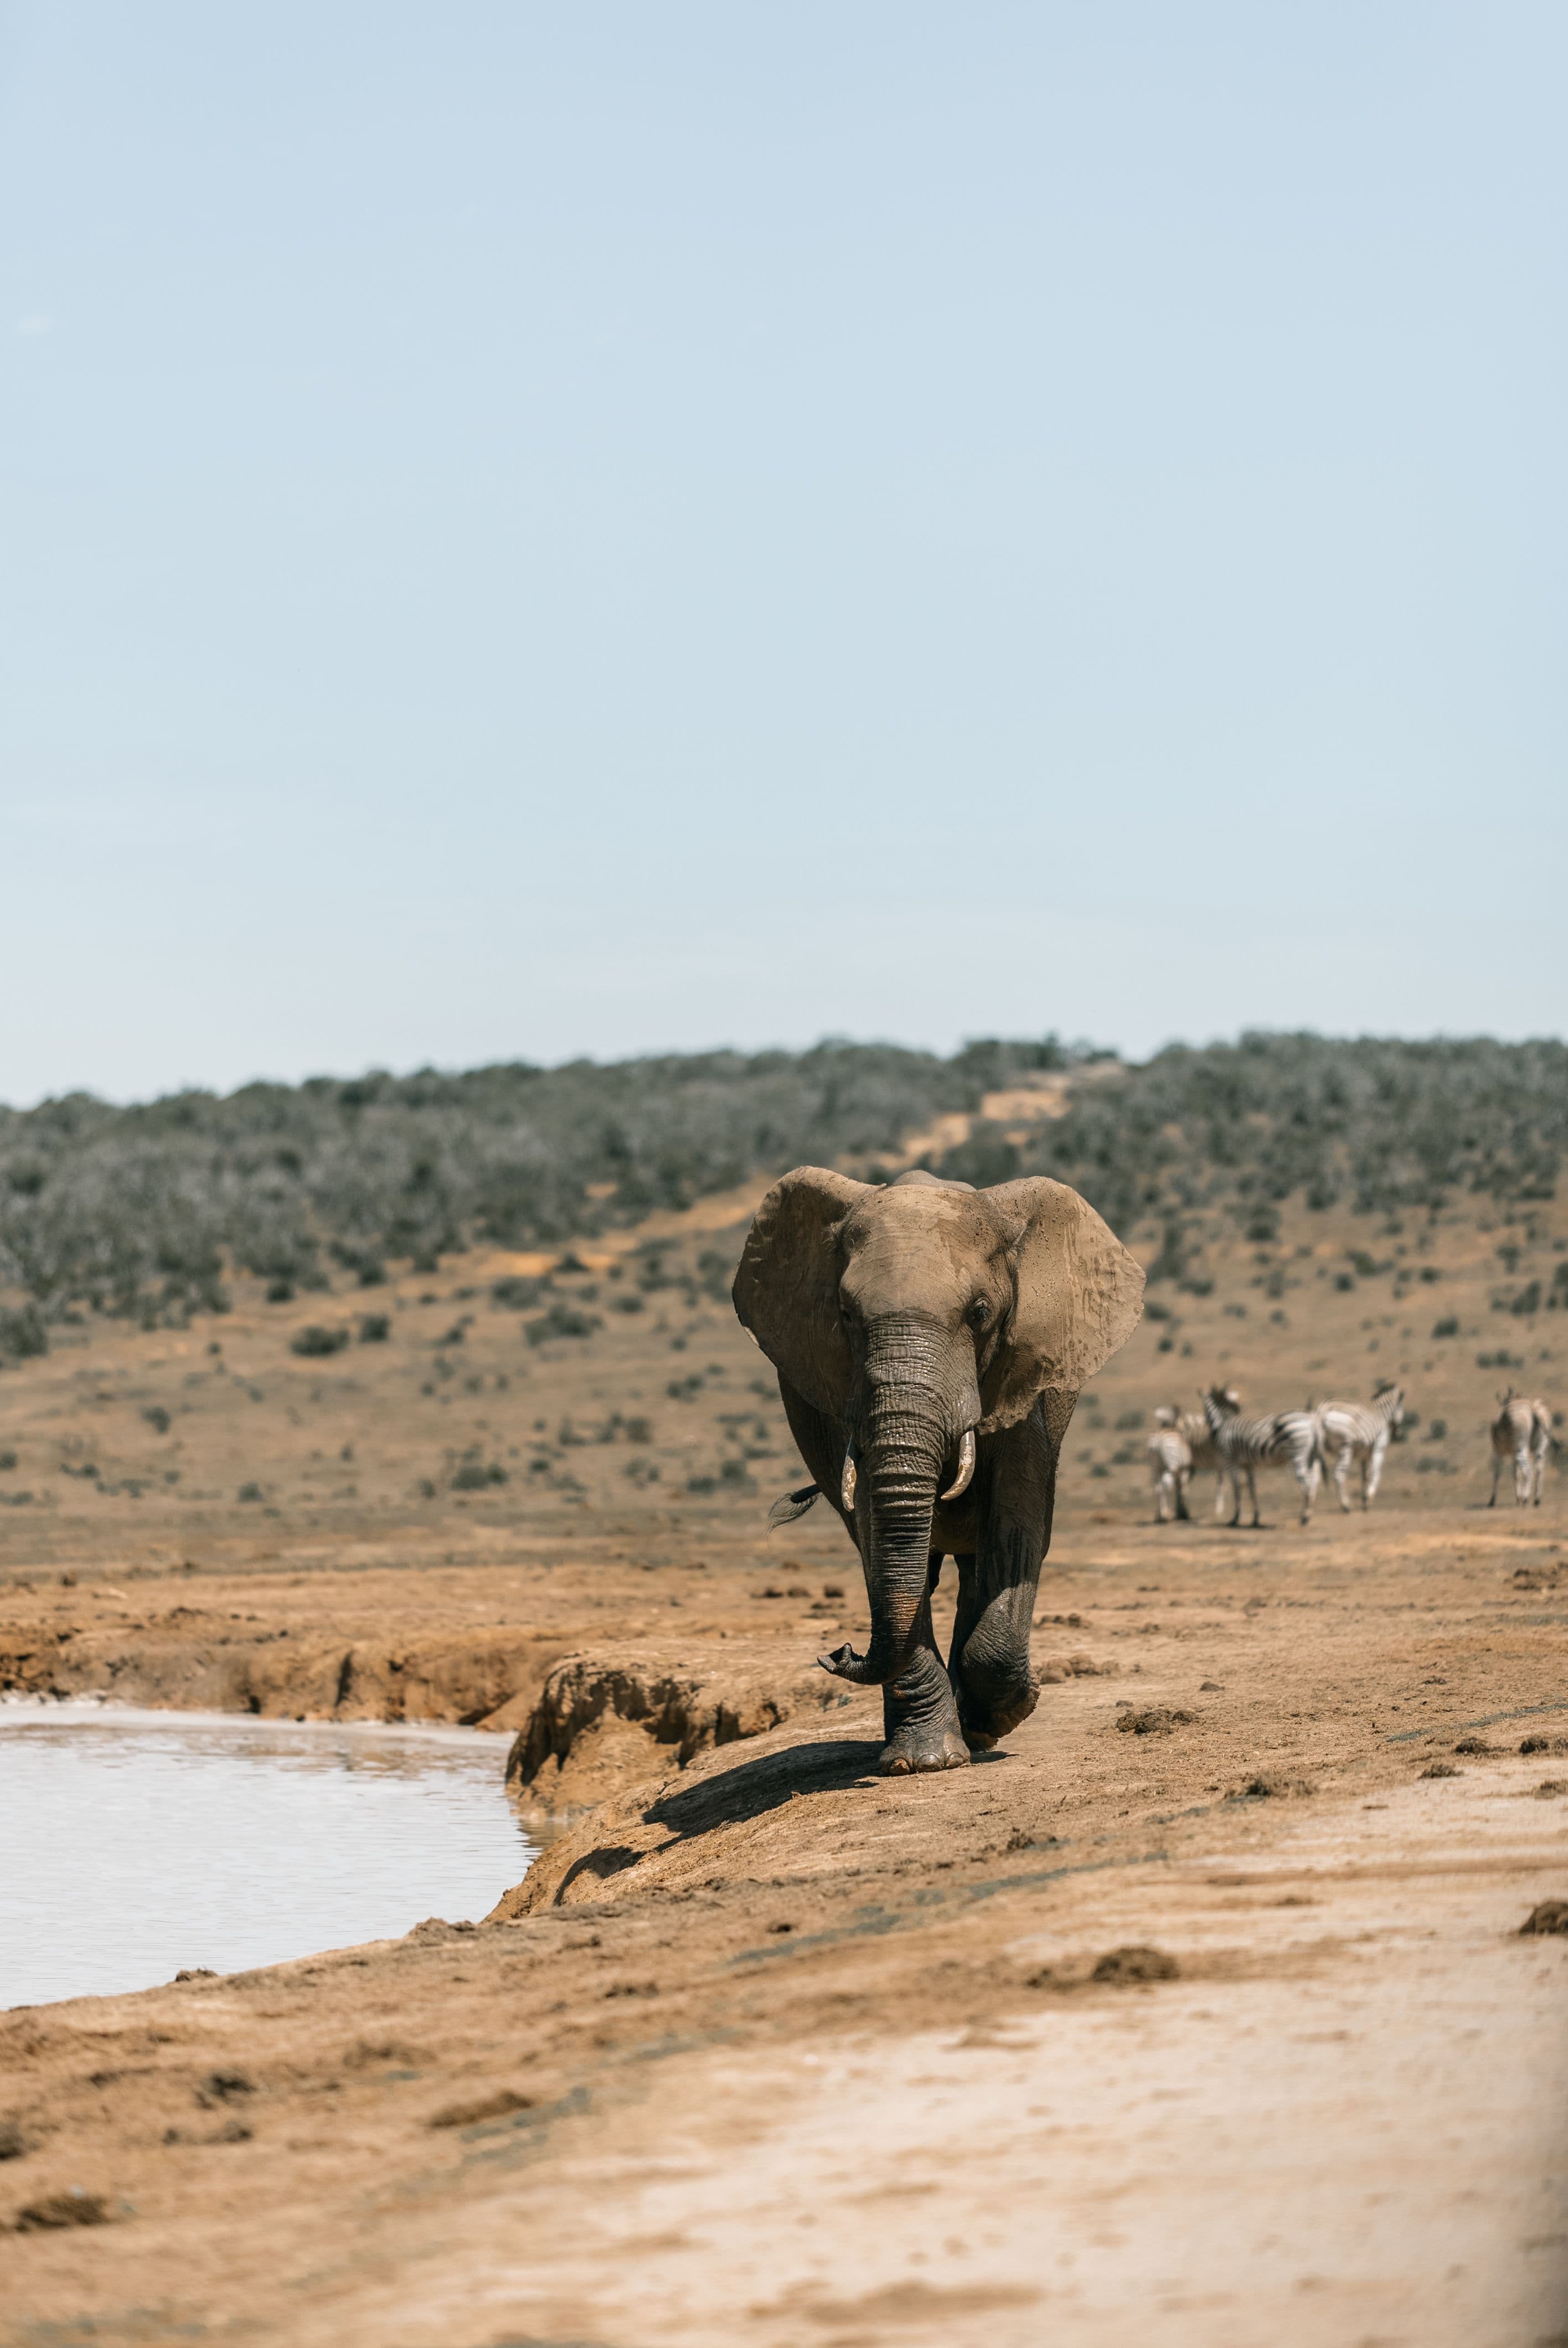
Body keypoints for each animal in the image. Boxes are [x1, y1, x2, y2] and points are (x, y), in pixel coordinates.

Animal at [731, 1165, 1144, 1776]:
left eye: (979, 1312)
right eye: (846, 1316)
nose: (839, 1651)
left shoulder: (1023, 1378)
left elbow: (1018, 1523)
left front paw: (999, 1718)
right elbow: (877, 1528)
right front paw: (926, 1762)